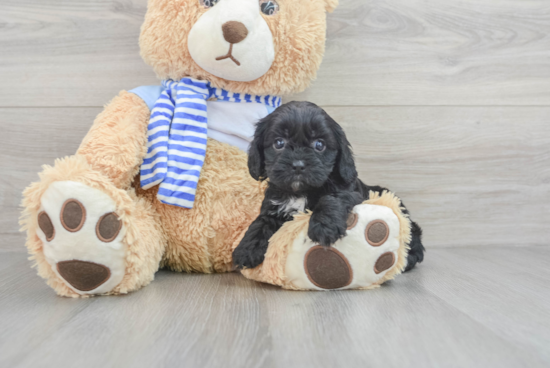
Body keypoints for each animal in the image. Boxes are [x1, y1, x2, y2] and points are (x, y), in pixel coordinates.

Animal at [233, 100, 426, 270]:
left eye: (319, 144)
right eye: (279, 143)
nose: (298, 165)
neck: (301, 192)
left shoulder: (350, 192)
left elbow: (331, 198)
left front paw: (323, 226)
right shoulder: (273, 205)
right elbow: (261, 223)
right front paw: (246, 249)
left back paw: (410, 258)